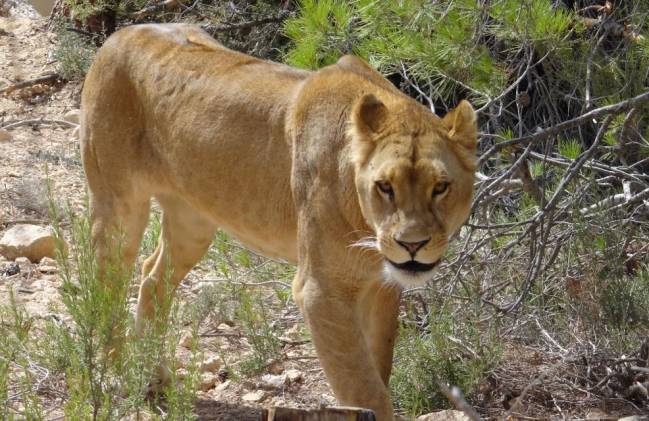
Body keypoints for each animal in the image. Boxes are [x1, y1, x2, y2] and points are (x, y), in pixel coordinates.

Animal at [80, 23, 477, 420]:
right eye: (385, 186)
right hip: (117, 205)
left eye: (440, 187)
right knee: (106, 290)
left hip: (192, 220)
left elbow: (378, 366)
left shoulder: (381, 286)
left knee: (151, 277)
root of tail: (121, 34)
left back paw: (153, 379)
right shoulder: (321, 292)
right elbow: (364, 387)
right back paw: (117, 373)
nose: (412, 244)